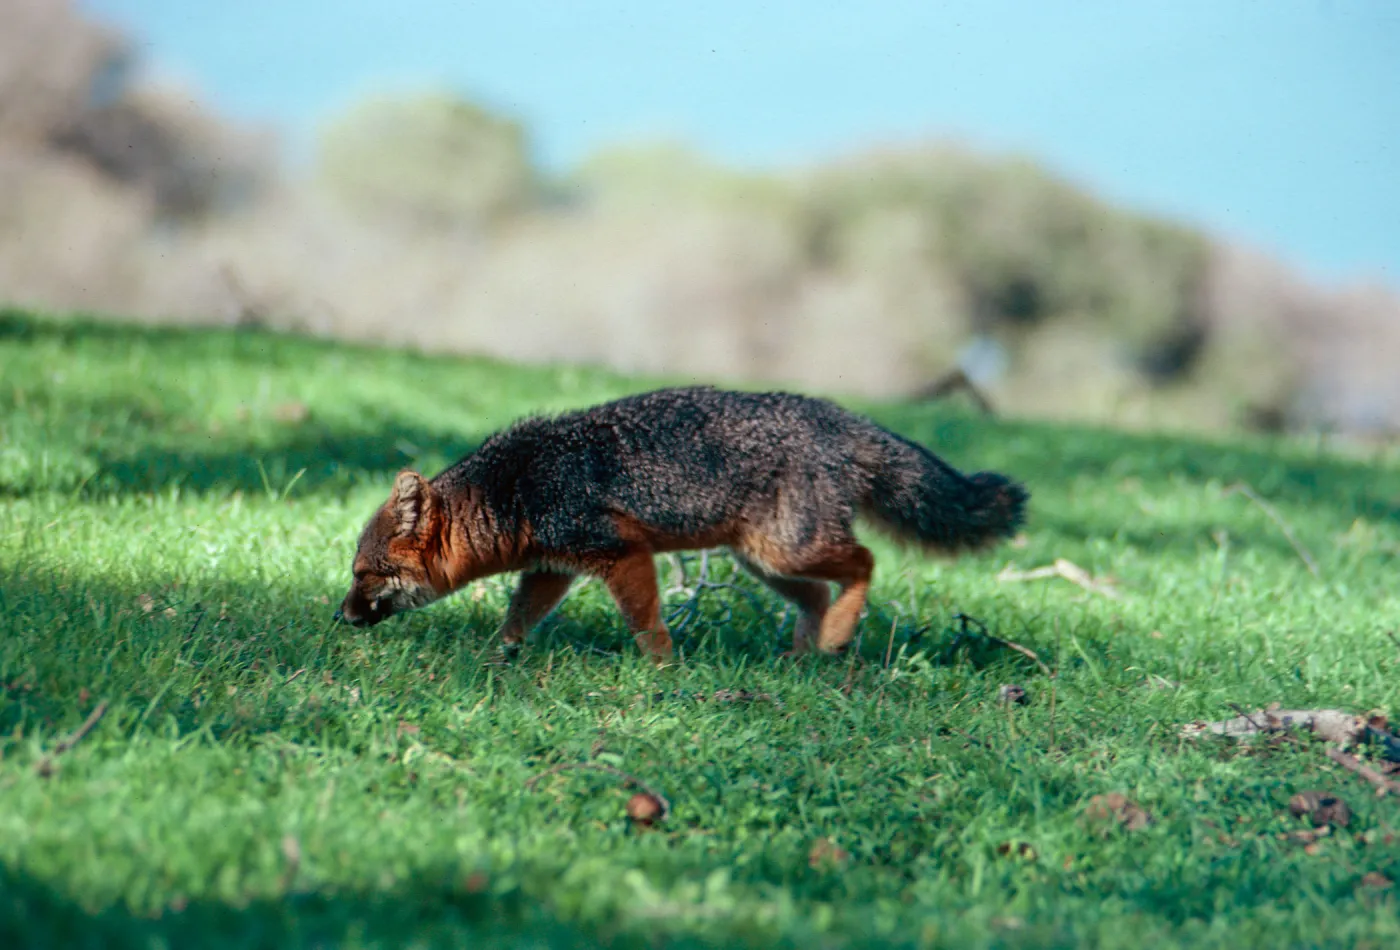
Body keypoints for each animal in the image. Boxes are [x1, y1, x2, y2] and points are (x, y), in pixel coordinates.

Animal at [333, 385, 1028, 664]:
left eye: (367, 574)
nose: (339, 616)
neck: (515, 487)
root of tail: (834, 415)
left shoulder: (620, 554)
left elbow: (646, 622)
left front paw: (665, 672)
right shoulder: (554, 567)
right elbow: (516, 620)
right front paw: (493, 658)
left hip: (789, 550)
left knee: (864, 562)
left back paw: (833, 640)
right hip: (765, 561)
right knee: (818, 594)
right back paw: (802, 657)